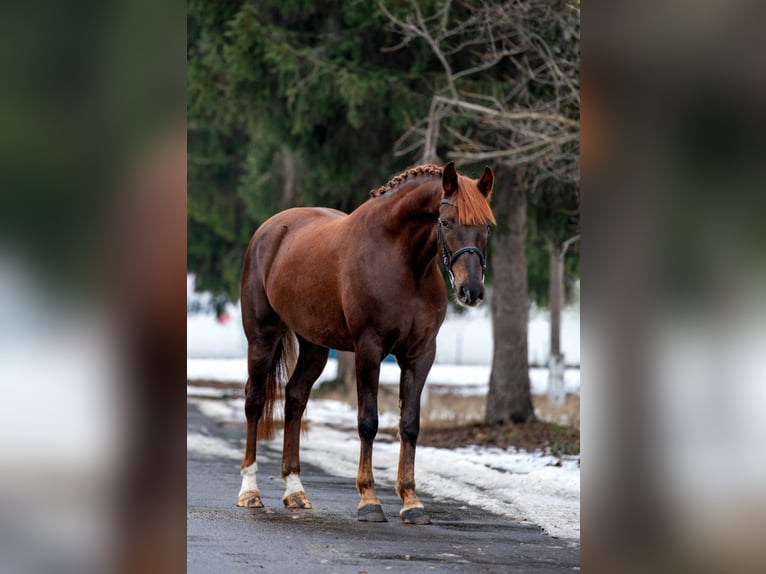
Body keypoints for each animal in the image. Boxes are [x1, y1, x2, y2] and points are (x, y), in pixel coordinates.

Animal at [236, 161, 495, 524]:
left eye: (486, 226)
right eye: (446, 222)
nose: (471, 291)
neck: (401, 262)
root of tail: (269, 230)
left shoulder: (420, 354)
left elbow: (410, 424)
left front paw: (412, 502)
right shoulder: (369, 350)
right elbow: (368, 422)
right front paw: (369, 500)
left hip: (315, 346)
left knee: (295, 399)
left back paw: (295, 491)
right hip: (262, 336)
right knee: (255, 400)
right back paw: (250, 492)